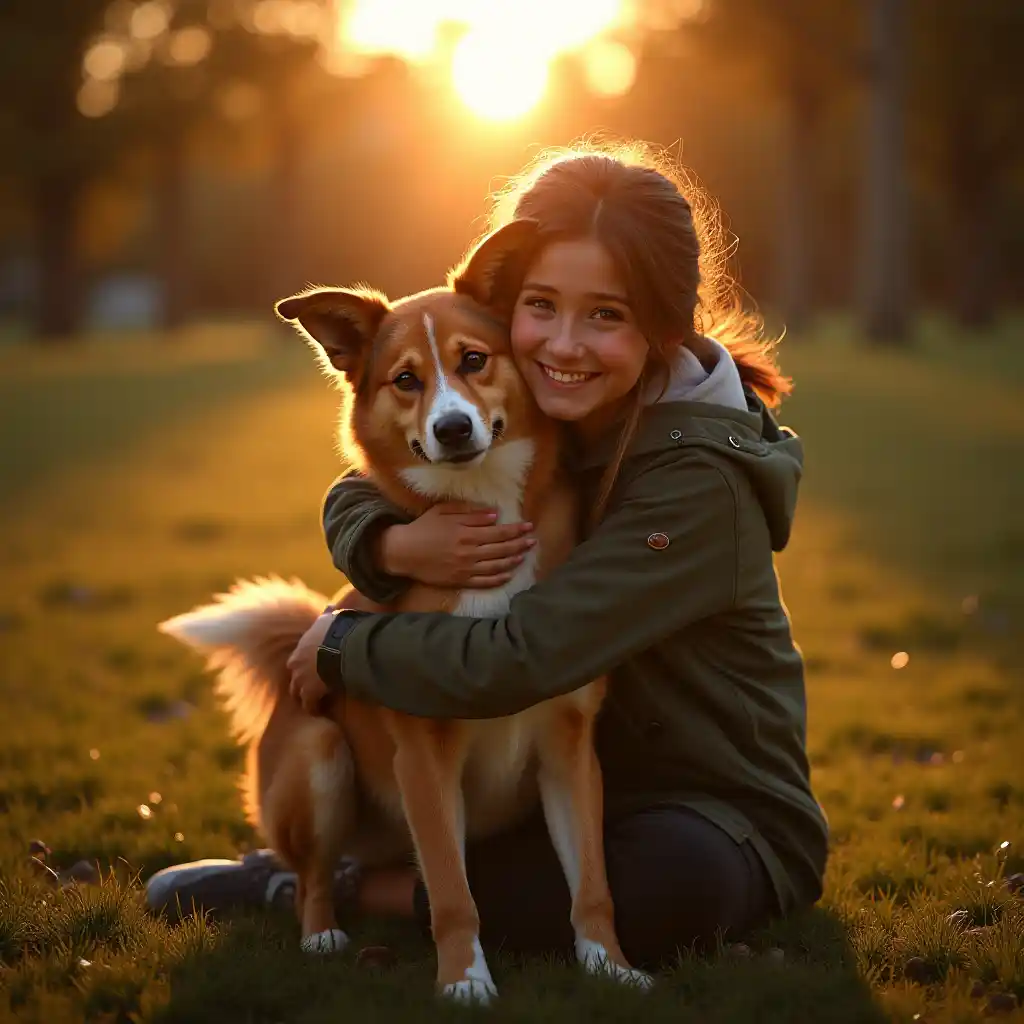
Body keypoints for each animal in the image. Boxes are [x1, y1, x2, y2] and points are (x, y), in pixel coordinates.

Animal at [156, 222, 651, 999]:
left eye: (474, 360)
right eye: (406, 380)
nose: (451, 429)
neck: (482, 507)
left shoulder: (568, 748)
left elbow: (593, 884)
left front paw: (611, 967)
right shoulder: (423, 757)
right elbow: (450, 891)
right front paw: (464, 982)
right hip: (321, 758)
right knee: (314, 873)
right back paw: (321, 930)